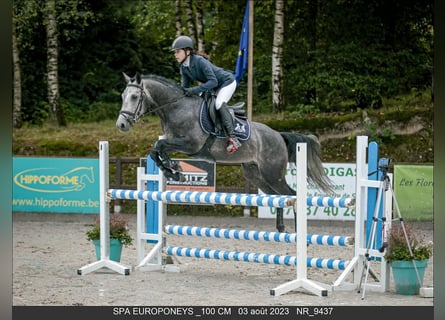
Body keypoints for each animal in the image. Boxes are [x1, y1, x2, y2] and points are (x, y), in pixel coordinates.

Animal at [116, 72, 332, 231]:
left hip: (273, 173)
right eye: (122, 97)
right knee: (277, 197)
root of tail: (278, 135)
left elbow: (160, 146)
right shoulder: (177, 144)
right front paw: (172, 170)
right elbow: (156, 150)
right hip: (255, 174)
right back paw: (280, 229)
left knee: (291, 195)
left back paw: (299, 233)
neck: (175, 108)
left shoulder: (190, 145)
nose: (121, 125)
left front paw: (173, 168)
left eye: (134, 97)